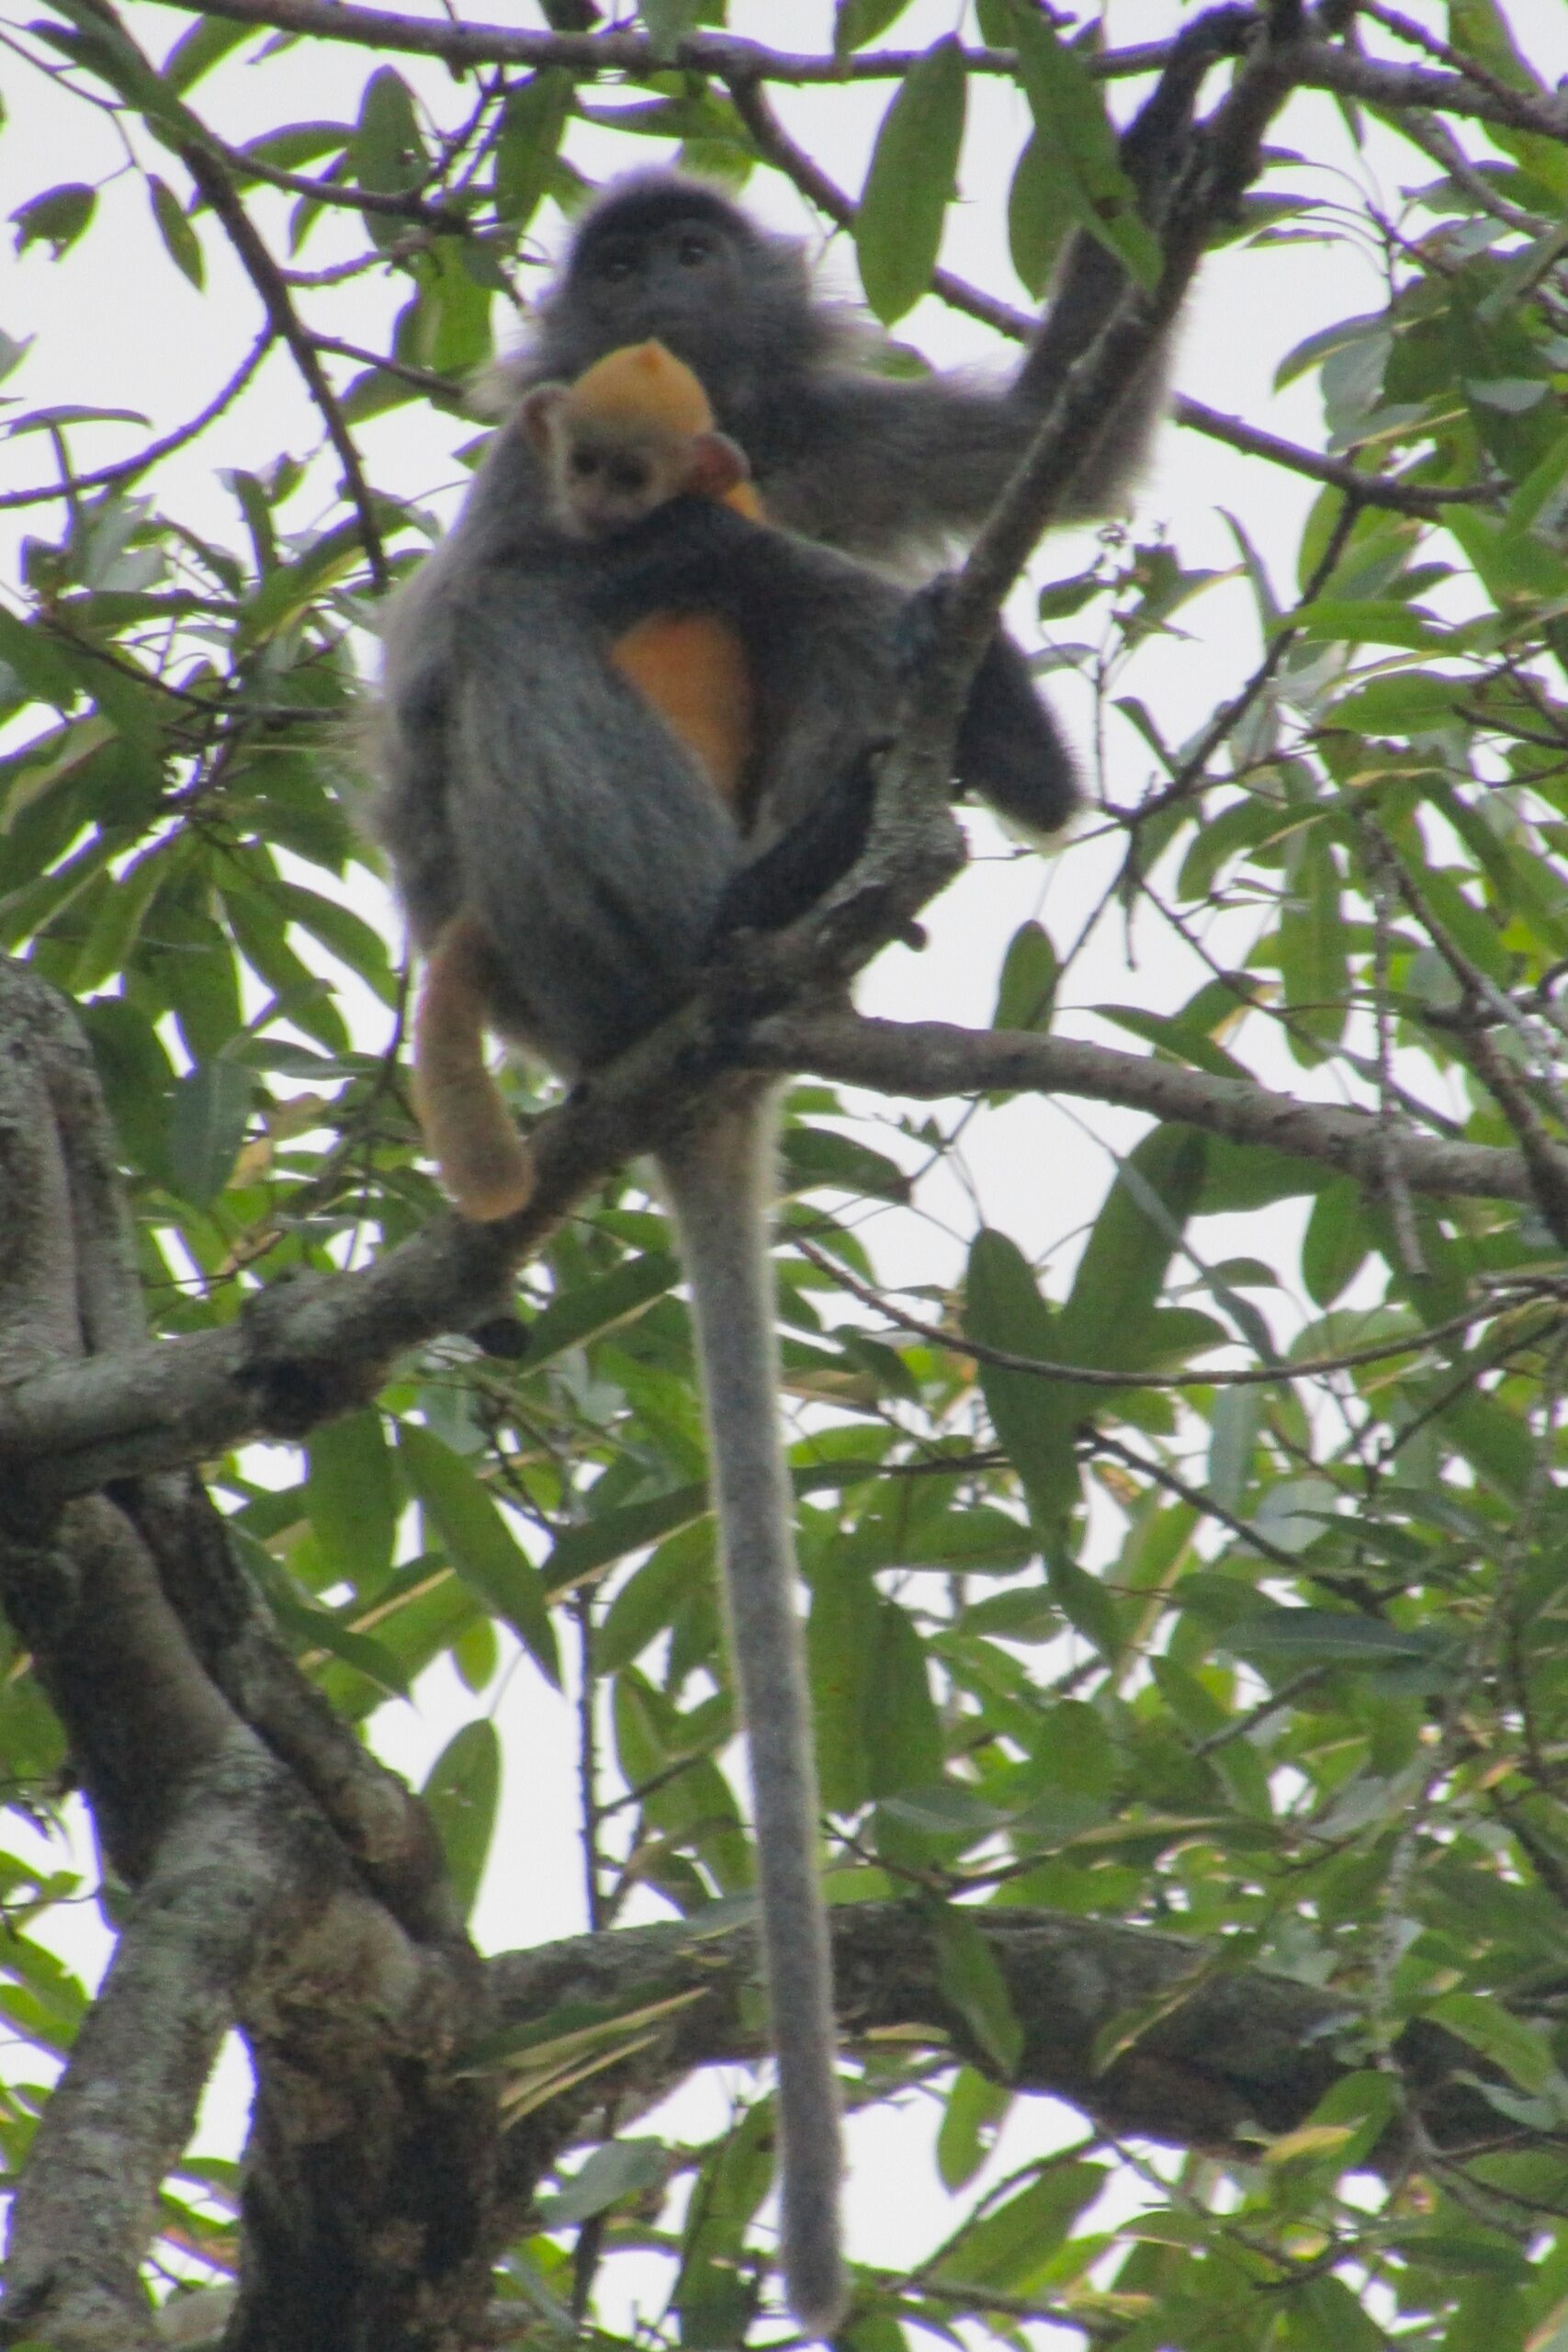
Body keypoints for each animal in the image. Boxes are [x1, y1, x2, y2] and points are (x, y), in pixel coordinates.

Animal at [373, 28, 1232, 2324]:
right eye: (615, 262)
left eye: (685, 248)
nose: (654, 269)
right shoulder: (531, 473)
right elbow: (446, 675)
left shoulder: (807, 432)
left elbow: (1039, 450)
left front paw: (1182, 120)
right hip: (552, 952)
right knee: (524, 659)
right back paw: (727, 916)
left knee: (850, 629)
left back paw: (921, 792)